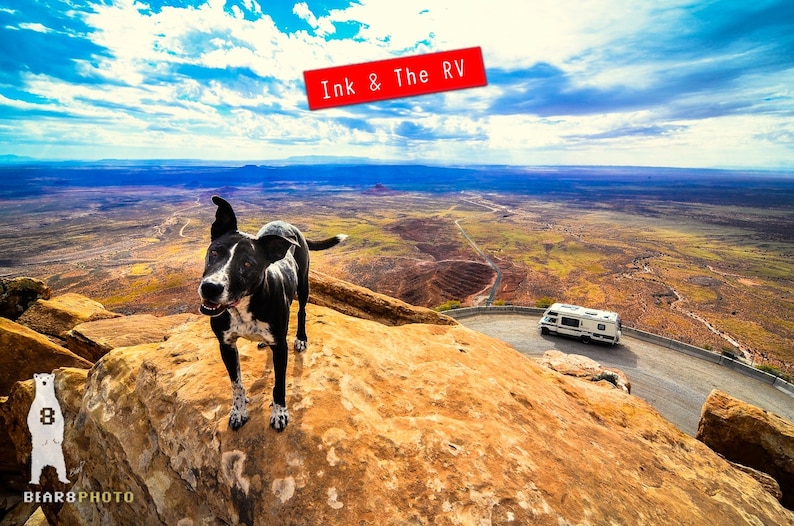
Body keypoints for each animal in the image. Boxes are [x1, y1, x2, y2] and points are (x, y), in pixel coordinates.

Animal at [198, 198, 344, 434]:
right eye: (214, 253)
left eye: (247, 264)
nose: (210, 288)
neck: (244, 307)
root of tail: (287, 224)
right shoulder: (226, 345)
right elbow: (236, 384)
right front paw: (238, 412)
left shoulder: (280, 348)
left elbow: (279, 384)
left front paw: (279, 414)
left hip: (304, 284)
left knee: (302, 311)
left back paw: (301, 338)